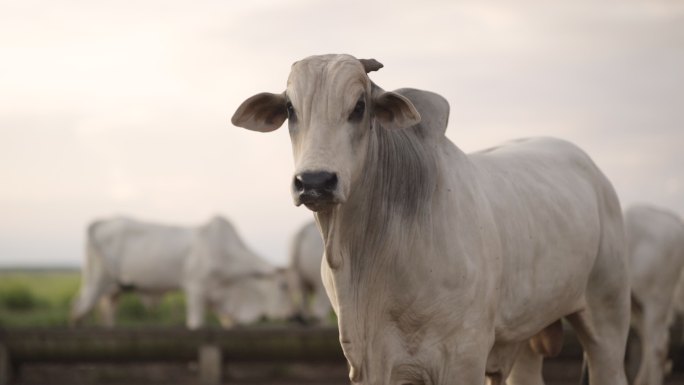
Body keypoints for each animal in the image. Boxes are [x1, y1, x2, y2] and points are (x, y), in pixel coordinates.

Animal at [70, 214, 296, 328]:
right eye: (283, 285)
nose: (294, 316)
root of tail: (101, 221)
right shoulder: (195, 289)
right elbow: (196, 324)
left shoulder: (219, 300)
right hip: (95, 281)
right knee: (78, 310)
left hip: (113, 289)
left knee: (106, 312)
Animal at [231, 54, 632, 384]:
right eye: (290, 108)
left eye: (359, 106)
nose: (315, 182)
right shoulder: (370, 361)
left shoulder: (463, 357)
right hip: (526, 335)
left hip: (608, 315)